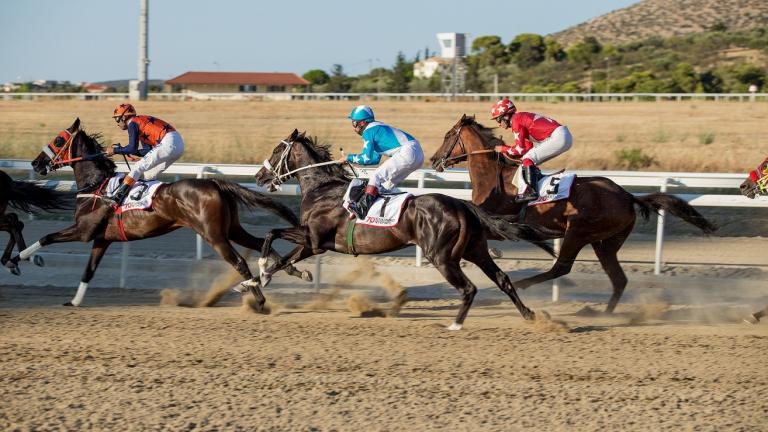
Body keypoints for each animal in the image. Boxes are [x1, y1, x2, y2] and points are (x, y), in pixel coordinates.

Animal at [6, 118, 306, 308]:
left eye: (58, 140)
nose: (36, 163)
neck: (96, 185)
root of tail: (214, 182)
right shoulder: (101, 239)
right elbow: (88, 272)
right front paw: (74, 301)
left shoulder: (83, 232)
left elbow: (46, 238)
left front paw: (17, 260)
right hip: (231, 228)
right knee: (259, 242)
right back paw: (289, 271)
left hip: (213, 234)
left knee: (240, 263)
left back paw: (259, 299)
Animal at [428, 114, 716, 310]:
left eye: (448, 135)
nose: (434, 160)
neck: (493, 176)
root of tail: (627, 196)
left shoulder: (498, 222)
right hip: (605, 242)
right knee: (618, 279)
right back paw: (603, 314)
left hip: (577, 232)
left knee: (562, 267)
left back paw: (525, 284)